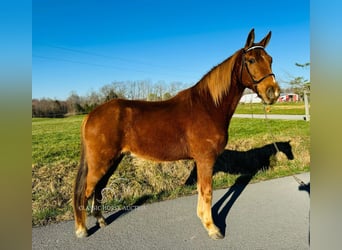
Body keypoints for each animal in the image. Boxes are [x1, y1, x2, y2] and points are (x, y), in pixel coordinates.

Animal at [73, 28, 280, 239]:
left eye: (270, 59)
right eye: (251, 60)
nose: (273, 93)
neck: (208, 106)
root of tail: (91, 115)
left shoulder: (201, 161)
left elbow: (201, 191)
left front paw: (204, 220)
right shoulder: (205, 159)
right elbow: (207, 192)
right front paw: (212, 228)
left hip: (112, 161)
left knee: (98, 188)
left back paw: (100, 220)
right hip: (101, 162)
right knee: (84, 191)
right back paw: (82, 229)